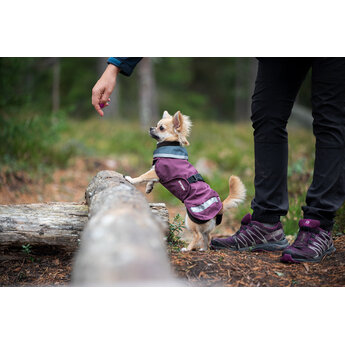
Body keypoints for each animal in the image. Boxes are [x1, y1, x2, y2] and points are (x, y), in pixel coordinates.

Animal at [125, 111, 246, 251]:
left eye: (161, 128)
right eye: (156, 124)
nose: (151, 128)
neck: (170, 146)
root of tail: (220, 207)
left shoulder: (157, 171)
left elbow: (143, 176)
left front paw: (131, 179)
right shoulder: (157, 172)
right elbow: (151, 180)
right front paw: (149, 188)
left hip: (190, 220)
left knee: (197, 235)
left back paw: (187, 249)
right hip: (205, 227)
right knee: (207, 236)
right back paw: (203, 249)